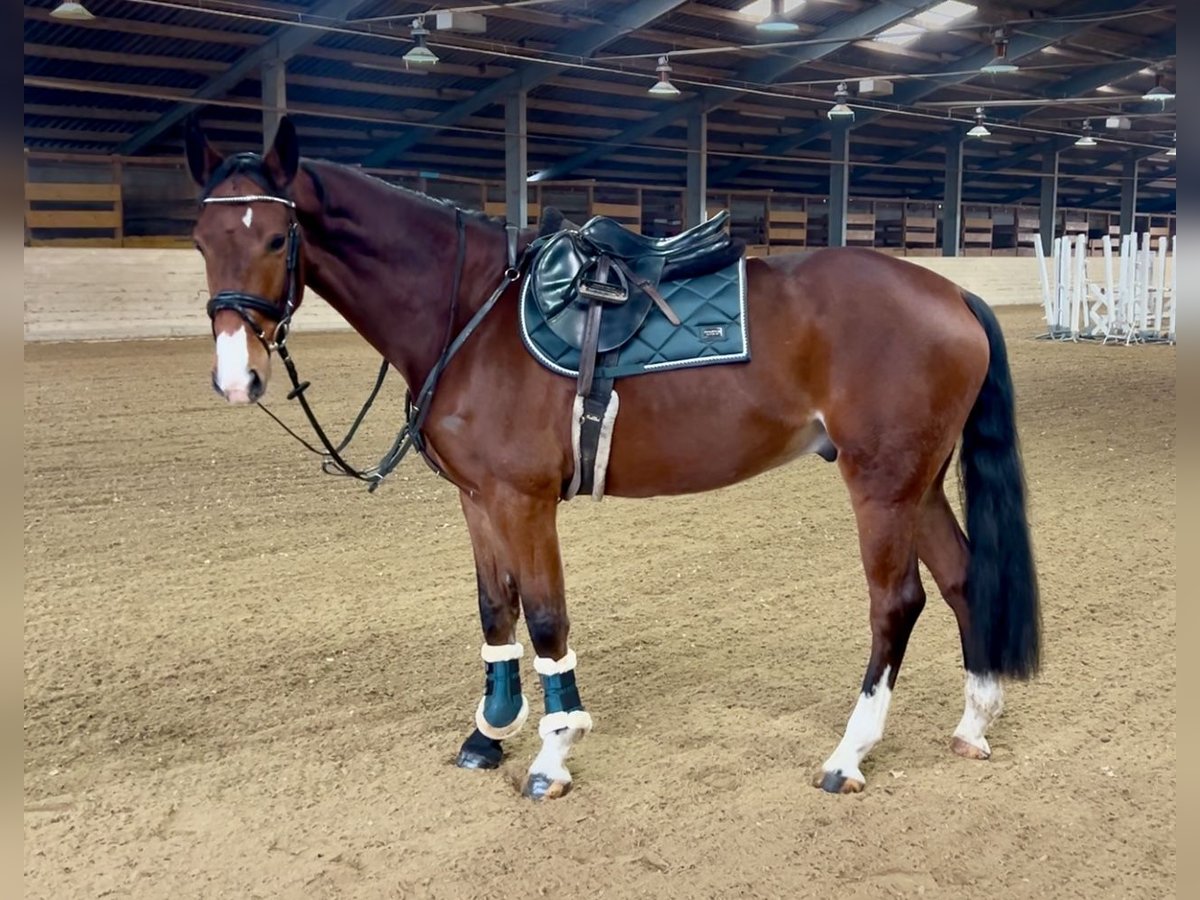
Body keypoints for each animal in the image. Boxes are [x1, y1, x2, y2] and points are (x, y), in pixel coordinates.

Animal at [182, 116, 1036, 801]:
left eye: (276, 237)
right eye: (201, 240)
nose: (235, 376)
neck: (472, 312)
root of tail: (953, 296)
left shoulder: (523, 499)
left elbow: (545, 616)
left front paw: (553, 754)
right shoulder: (478, 498)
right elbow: (495, 609)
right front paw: (490, 733)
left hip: (881, 482)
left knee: (896, 603)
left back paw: (848, 755)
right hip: (919, 481)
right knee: (963, 578)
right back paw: (973, 724)